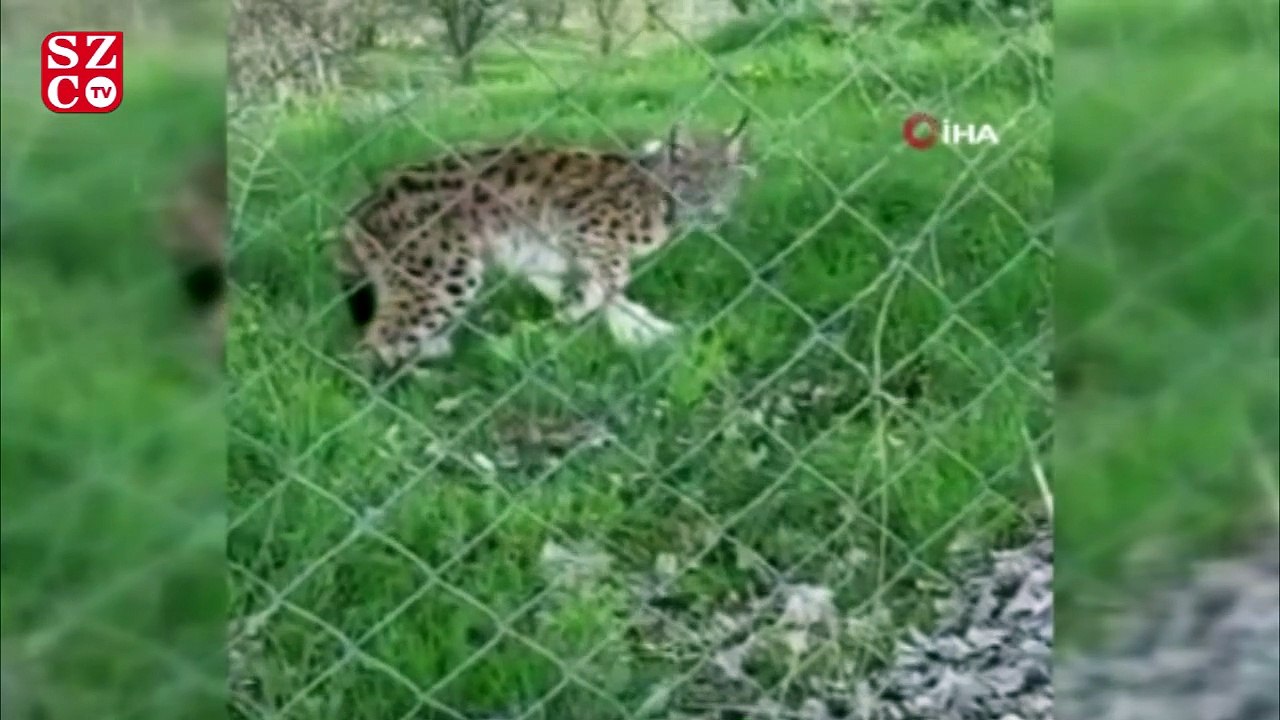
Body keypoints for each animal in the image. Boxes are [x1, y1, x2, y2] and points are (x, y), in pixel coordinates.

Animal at [334, 113, 754, 372]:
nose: (716, 212)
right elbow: (612, 281)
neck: (658, 195)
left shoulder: (553, 251)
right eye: (694, 183)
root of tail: (362, 203)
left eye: (727, 184)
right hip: (444, 275)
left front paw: (641, 328)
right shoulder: (583, 229)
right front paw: (599, 318)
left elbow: (604, 292)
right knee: (369, 345)